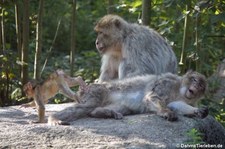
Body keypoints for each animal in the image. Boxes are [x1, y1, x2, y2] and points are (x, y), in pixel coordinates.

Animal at [48, 70, 208, 125]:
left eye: (201, 86)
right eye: (194, 80)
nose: (196, 87)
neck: (179, 89)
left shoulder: (182, 98)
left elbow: (177, 105)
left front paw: (198, 111)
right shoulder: (166, 83)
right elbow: (152, 97)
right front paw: (166, 112)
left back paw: (105, 113)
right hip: (95, 91)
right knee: (86, 107)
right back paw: (54, 118)